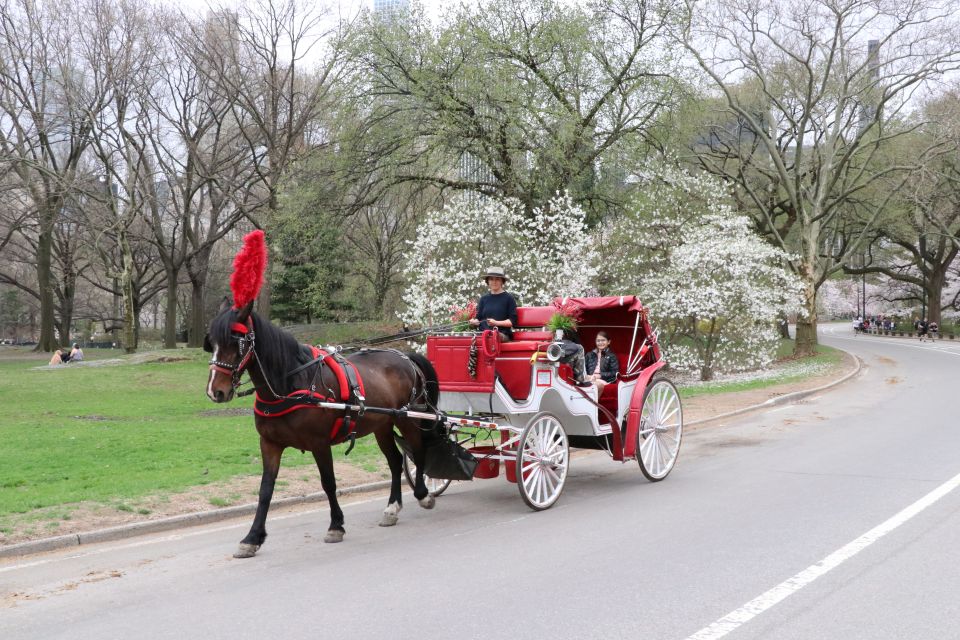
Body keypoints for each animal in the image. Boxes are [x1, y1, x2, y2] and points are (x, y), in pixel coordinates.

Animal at [206, 300, 442, 556]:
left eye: (237, 341)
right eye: (212, 343)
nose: (215, 391)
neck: (291, 385)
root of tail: (405, 357)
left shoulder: (319, 443)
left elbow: (328, 482)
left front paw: (336, 525)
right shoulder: (270, 444)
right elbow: (265, 490)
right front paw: (252, 537)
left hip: (407, 419)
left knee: (418, 451)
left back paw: (423, 494)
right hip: (382, 425)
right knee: (396, 461)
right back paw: (392, 508)